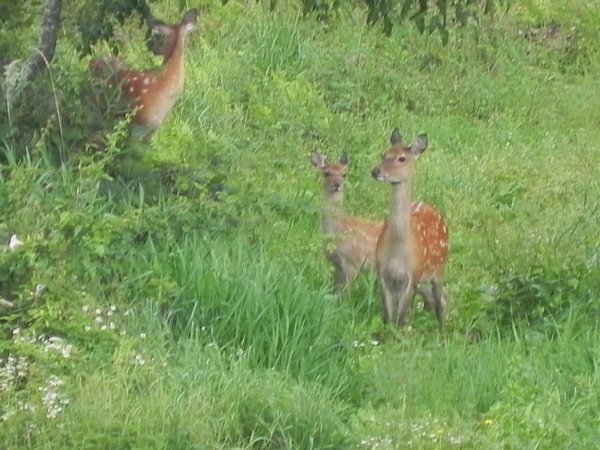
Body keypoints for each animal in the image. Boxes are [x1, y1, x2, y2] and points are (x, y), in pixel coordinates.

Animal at [312, 151, 382, 296]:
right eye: (326, 173)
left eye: (344, 174)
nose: (337, 184)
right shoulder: (335, 264)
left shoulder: (354, 263)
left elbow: (344, 296)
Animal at [370, 127, 450, 326]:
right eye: (383, 154)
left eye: (401, 159)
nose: (375, 171)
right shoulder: (383, 273)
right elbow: (388, 317)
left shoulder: (412, 275)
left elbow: (401, 318)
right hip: (422, 278)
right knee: (437, 299)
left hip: (439, 267)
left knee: (441, 300)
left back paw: (442, 329)